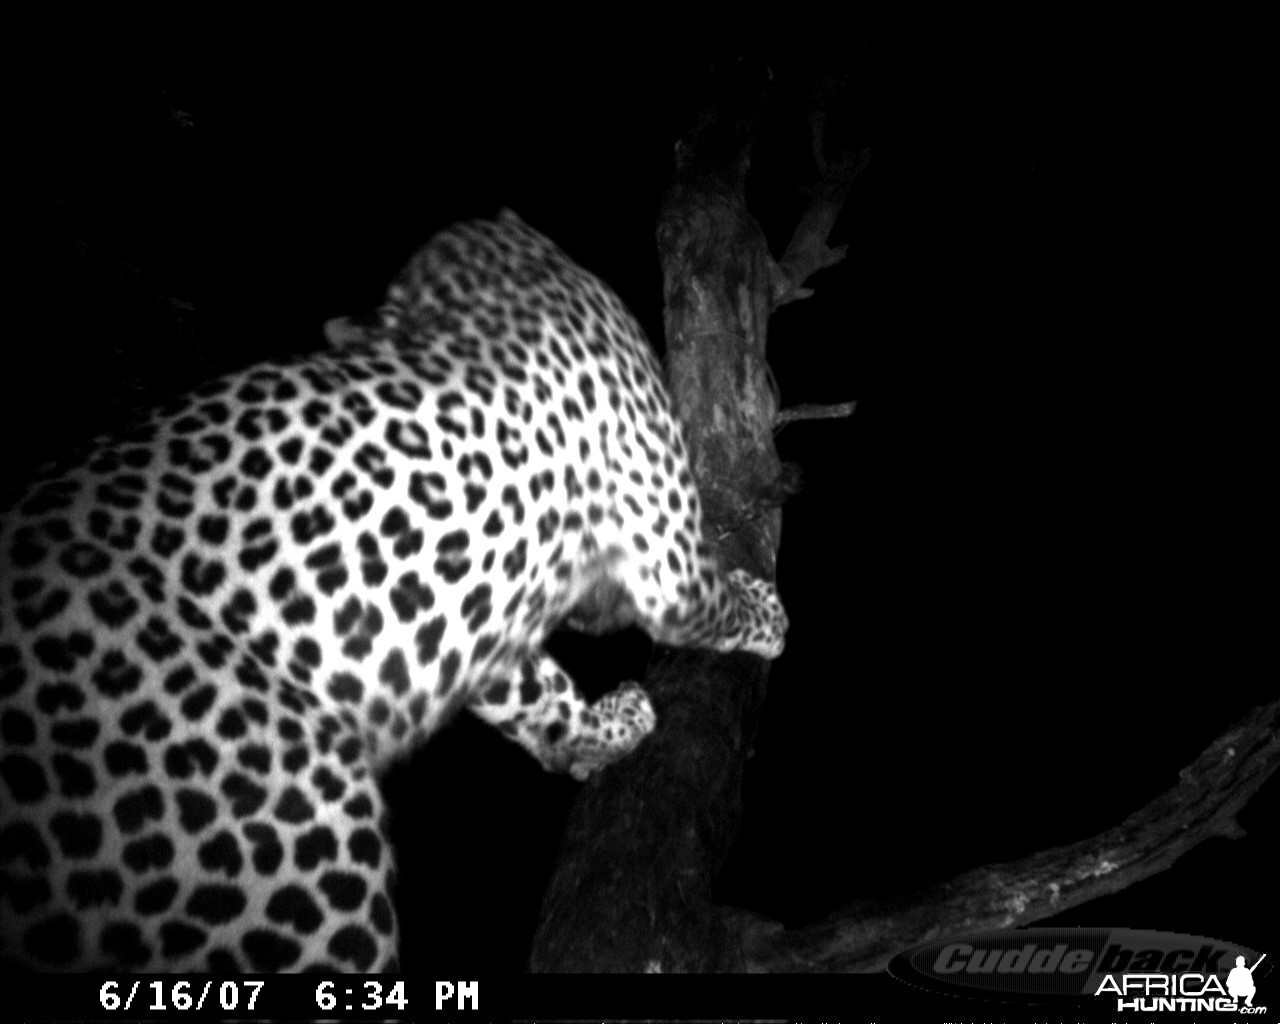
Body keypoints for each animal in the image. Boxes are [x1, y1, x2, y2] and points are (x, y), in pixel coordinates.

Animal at [0, 207, 783, 967]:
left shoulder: (478, 624)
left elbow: (537, 696)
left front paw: (601, 731)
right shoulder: (666, 549)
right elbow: (704, 601)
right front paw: (768, 616)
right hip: (301, 846)